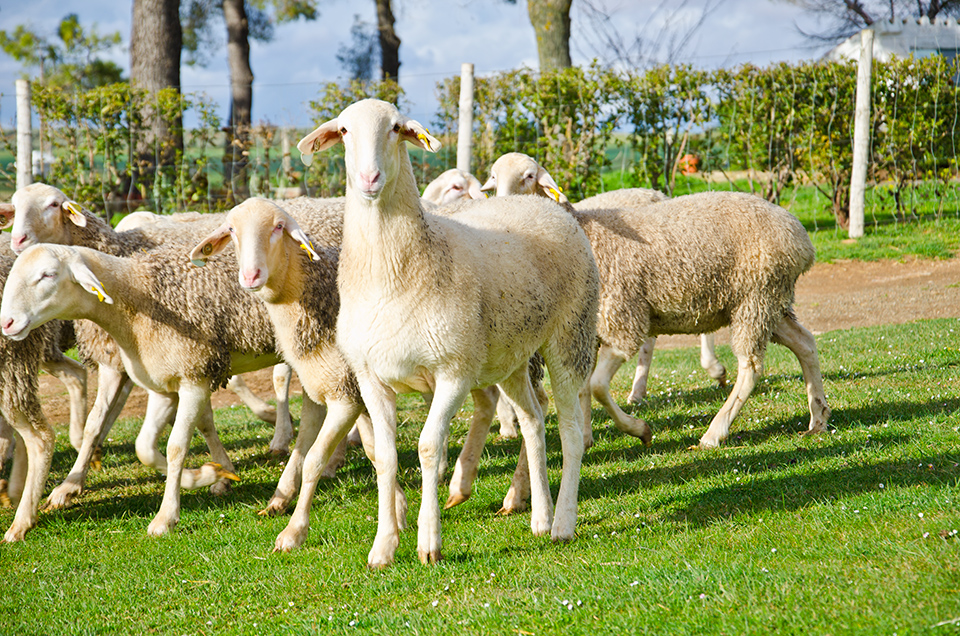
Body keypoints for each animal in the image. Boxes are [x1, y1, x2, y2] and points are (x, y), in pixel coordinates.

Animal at [296, 99, 600, 568]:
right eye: (344, 131)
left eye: (396, 129)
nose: (369, 179)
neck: (395, 273)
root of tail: (546, 207)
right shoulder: (371, 377)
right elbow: (386, 457)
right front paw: (383, 547)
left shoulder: (453, 372)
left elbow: (427, 448)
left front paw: (429, 542)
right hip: (509, 357)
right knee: (533, 421)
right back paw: (540, 517)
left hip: (571, 336)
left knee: (570, 431)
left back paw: (563, 523)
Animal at [484, 152, 828, 450]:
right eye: (493, 176)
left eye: (529, 176)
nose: (504, 205)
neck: (584, 231)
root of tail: (801, 237)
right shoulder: (588, 332)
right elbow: (582, 388)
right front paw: (585, 438)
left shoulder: (623, 321)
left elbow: (597, 386)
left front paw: (639, 429)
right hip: (769, 302)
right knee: (805, 343)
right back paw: (818, 418)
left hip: (756, 297)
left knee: (751, 367)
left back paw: (714, 432)